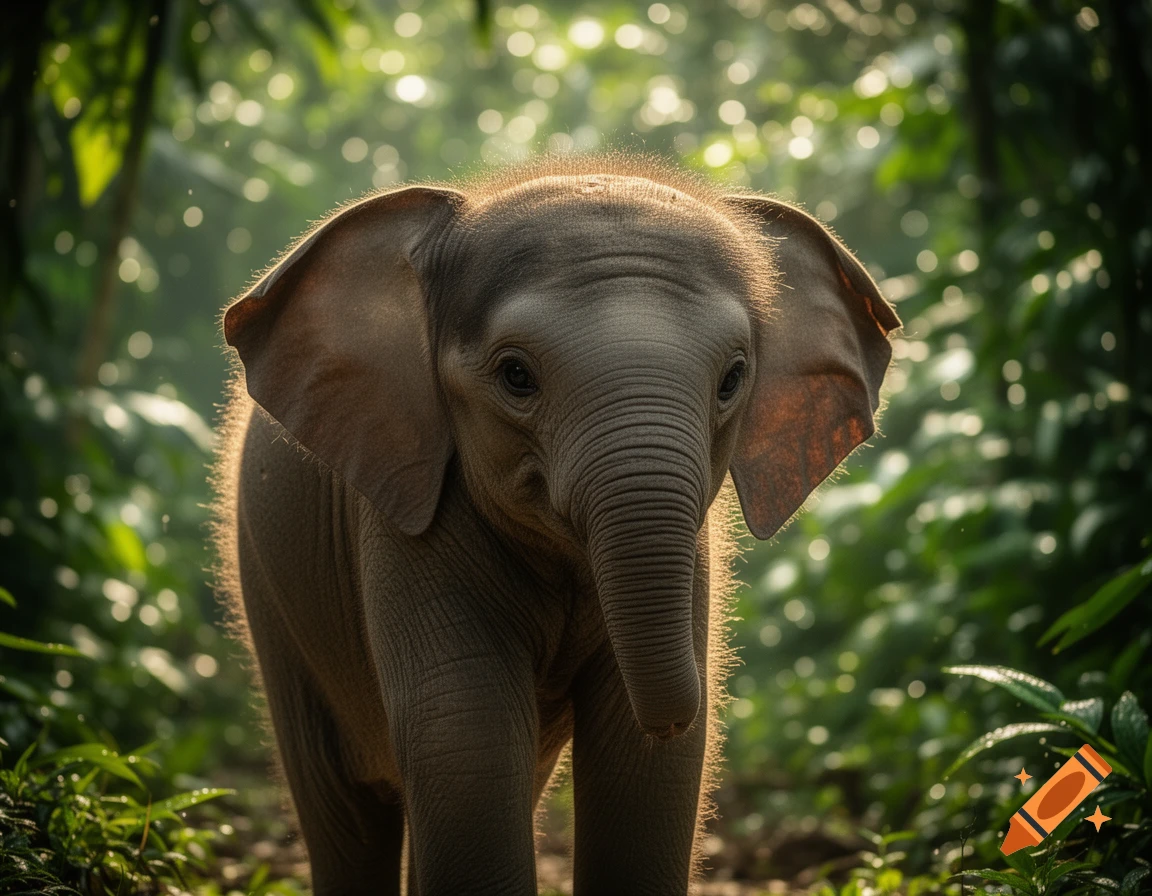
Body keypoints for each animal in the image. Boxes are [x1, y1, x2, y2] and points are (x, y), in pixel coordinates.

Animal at [211, 156, 900, 896]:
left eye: (732, 379)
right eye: (516, 375)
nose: (680, 709)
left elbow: (642, 763)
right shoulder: (406, 516)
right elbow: (462, 729)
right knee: (345, 807)